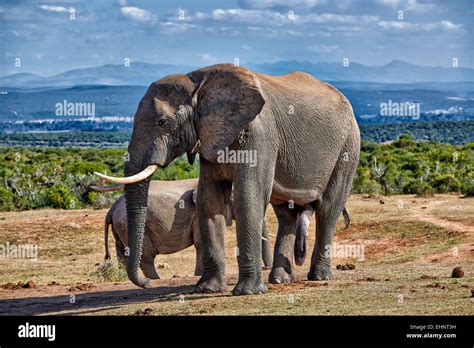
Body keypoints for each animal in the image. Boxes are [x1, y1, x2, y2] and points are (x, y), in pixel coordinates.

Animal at [96, 63, 360, 296]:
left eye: (162, 122)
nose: (146, 286)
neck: (197, 80)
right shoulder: (210, 136)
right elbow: (209, 199)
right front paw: (207, 289)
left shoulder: (259, 134)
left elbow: (248, 195)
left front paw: (247, 292)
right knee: (286, 214)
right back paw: (280, 280)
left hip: (348, 147)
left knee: (328, 209)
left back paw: (319, 277)